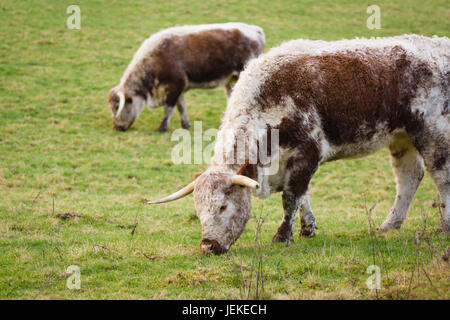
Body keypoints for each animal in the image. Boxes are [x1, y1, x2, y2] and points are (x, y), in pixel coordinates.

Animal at [107, 22, 266, 131]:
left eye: (117, 106)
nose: (117, 127)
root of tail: (255, 30)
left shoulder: (175, 85)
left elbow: (169, 108)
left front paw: (162, 127)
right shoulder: (179, 88)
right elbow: (181, 107)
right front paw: (185, 124)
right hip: (232, 80)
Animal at [149, 34, 450, 255]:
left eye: (223, 206)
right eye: (198, 210)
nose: (207, 246)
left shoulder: (307, 154)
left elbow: (291, 197)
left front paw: (283, 236)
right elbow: (303, 196)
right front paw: (308, 228)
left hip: (433, 133)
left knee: (441, 176)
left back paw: (444, 225)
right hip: (401, 138)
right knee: (409, 178)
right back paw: (390, 225)